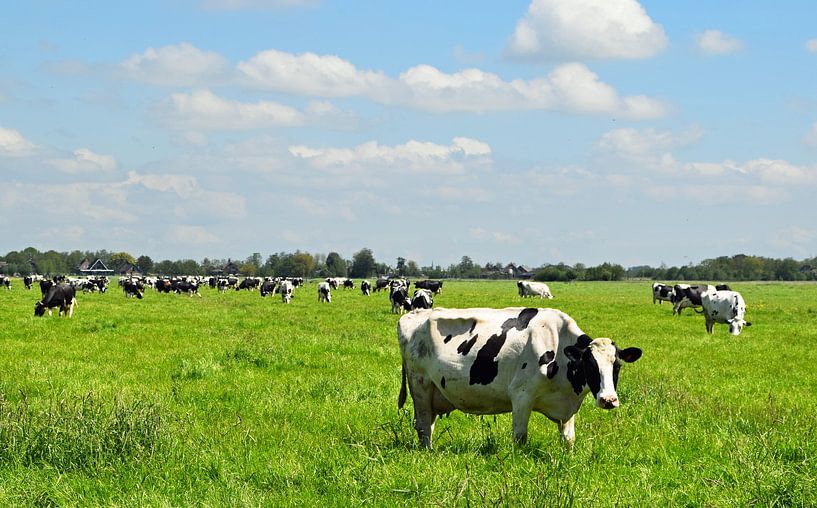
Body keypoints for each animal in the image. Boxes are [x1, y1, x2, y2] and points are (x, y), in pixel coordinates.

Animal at [398, 306, 640, 448]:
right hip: (420, 385)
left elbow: (569, 439)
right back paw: (428, 452)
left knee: (427, 424)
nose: (608, 400)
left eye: (617, 366)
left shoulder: (567, 406)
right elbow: (520, 437)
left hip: (433, 392)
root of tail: (415, 314)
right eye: (590, 365)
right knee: (423, 425)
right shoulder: (522, 395)